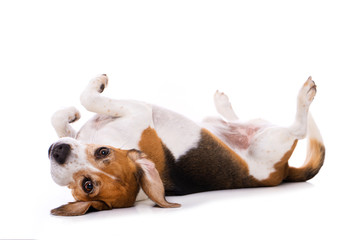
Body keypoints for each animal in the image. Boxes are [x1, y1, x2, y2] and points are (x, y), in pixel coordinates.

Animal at [48, 74, 326, 216]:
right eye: (86, 185)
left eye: (103, 152)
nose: (58, 152)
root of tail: (284, 170)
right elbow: (75, 110)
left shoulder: (135, 112)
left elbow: (75, 108)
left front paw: (76, 109)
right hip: (265, 137)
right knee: (294, 128)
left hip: (247, 132)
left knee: (290, 127)